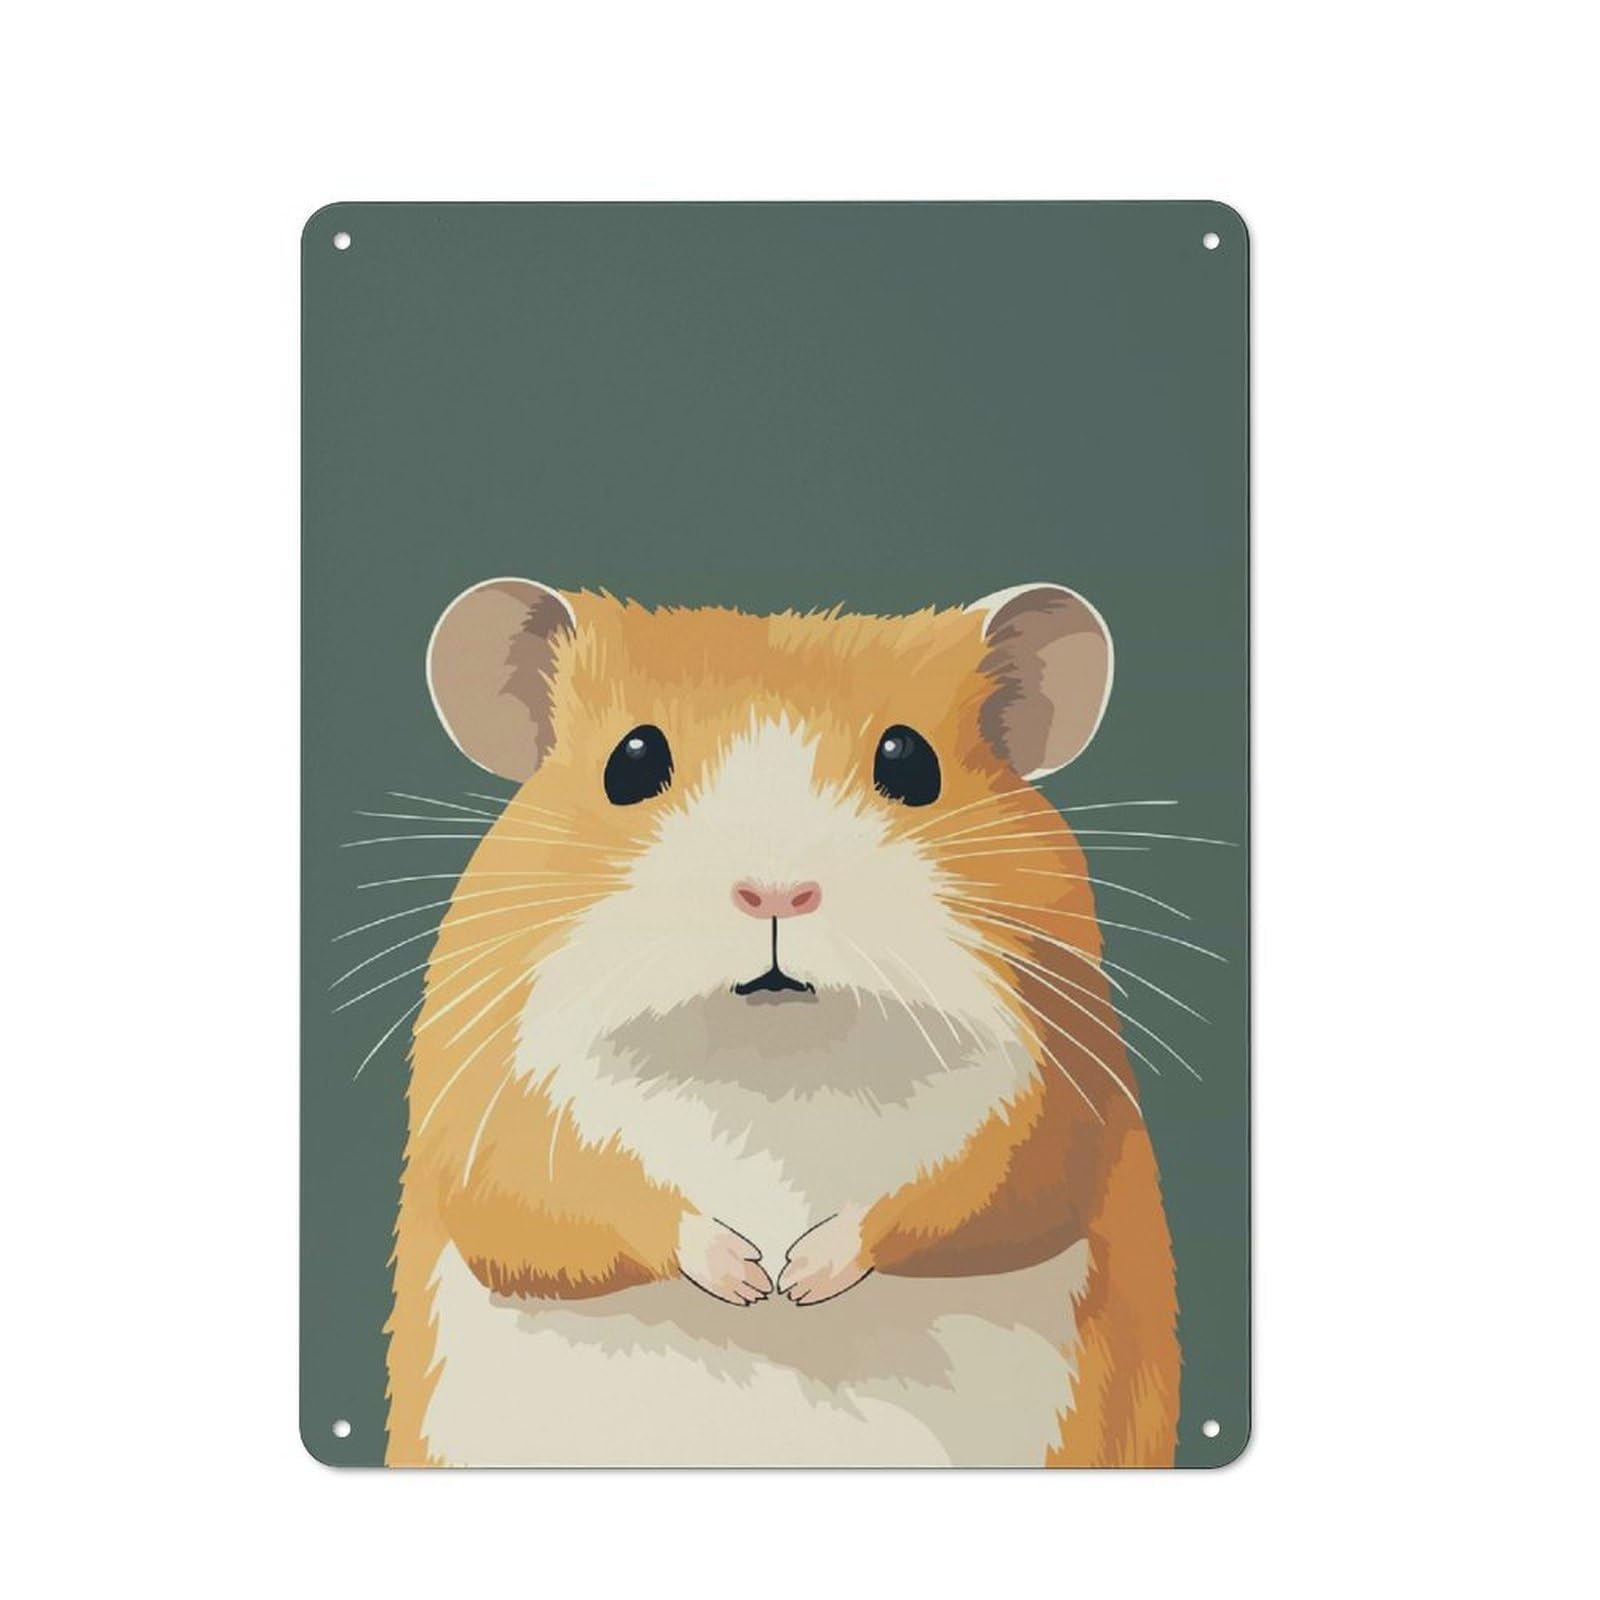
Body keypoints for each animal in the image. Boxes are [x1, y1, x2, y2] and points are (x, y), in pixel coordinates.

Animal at [384, 580, 1179, 1467]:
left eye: (909, 761)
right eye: (631, 761)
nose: (774, 892)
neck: (772, 1065)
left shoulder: (1061, 1094)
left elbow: (985, 1188)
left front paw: (795, 1278)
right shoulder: (480, 1106)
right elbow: (541, 1197)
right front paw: (749, 1276)